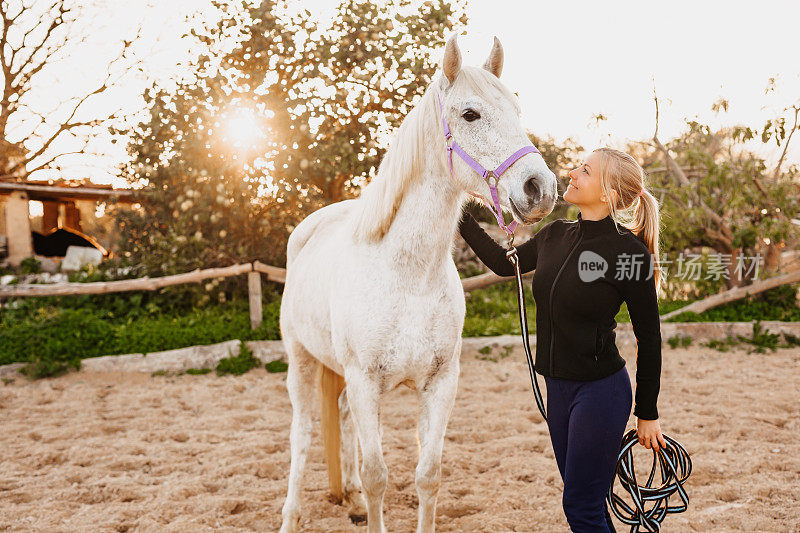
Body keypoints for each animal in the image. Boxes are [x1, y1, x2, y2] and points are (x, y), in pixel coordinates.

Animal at [280, 35, 556, 528]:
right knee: (303, 434)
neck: (408, 277)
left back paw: (349, 498)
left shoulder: (440, 384)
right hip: (302, 361)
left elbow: (428, 475)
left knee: (341, 418)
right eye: (470, 114)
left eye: (517, 110)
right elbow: (377, 477)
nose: (539, 188)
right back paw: (291, 516)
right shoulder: (365, 381)